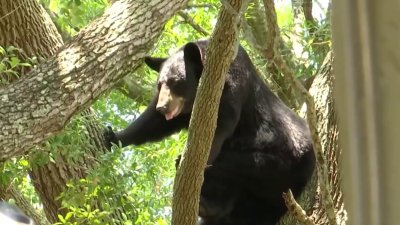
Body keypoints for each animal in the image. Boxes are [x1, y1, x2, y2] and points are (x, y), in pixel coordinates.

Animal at [105, 40, 316, 225]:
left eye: (176, 82)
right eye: (160, 84)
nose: (162, 107)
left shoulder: (230, 88)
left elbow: (217, 130)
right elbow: (153, 124)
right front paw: (113, 137)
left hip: (283, 164)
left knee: (239, 166)